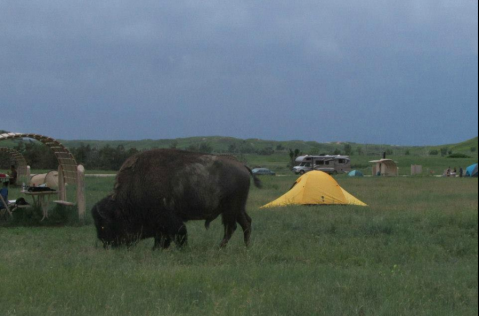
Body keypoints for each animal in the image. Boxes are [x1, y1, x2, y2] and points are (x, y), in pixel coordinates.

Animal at [91, 149, 260, 249]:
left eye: (104, 225)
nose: (106, 244)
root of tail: (242, 165)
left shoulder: (169, 220)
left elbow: (179, 234)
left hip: (230, 209)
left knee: (231, 227)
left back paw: (220, 248)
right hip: (238, 209)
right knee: (245, 223)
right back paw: (246, 247)